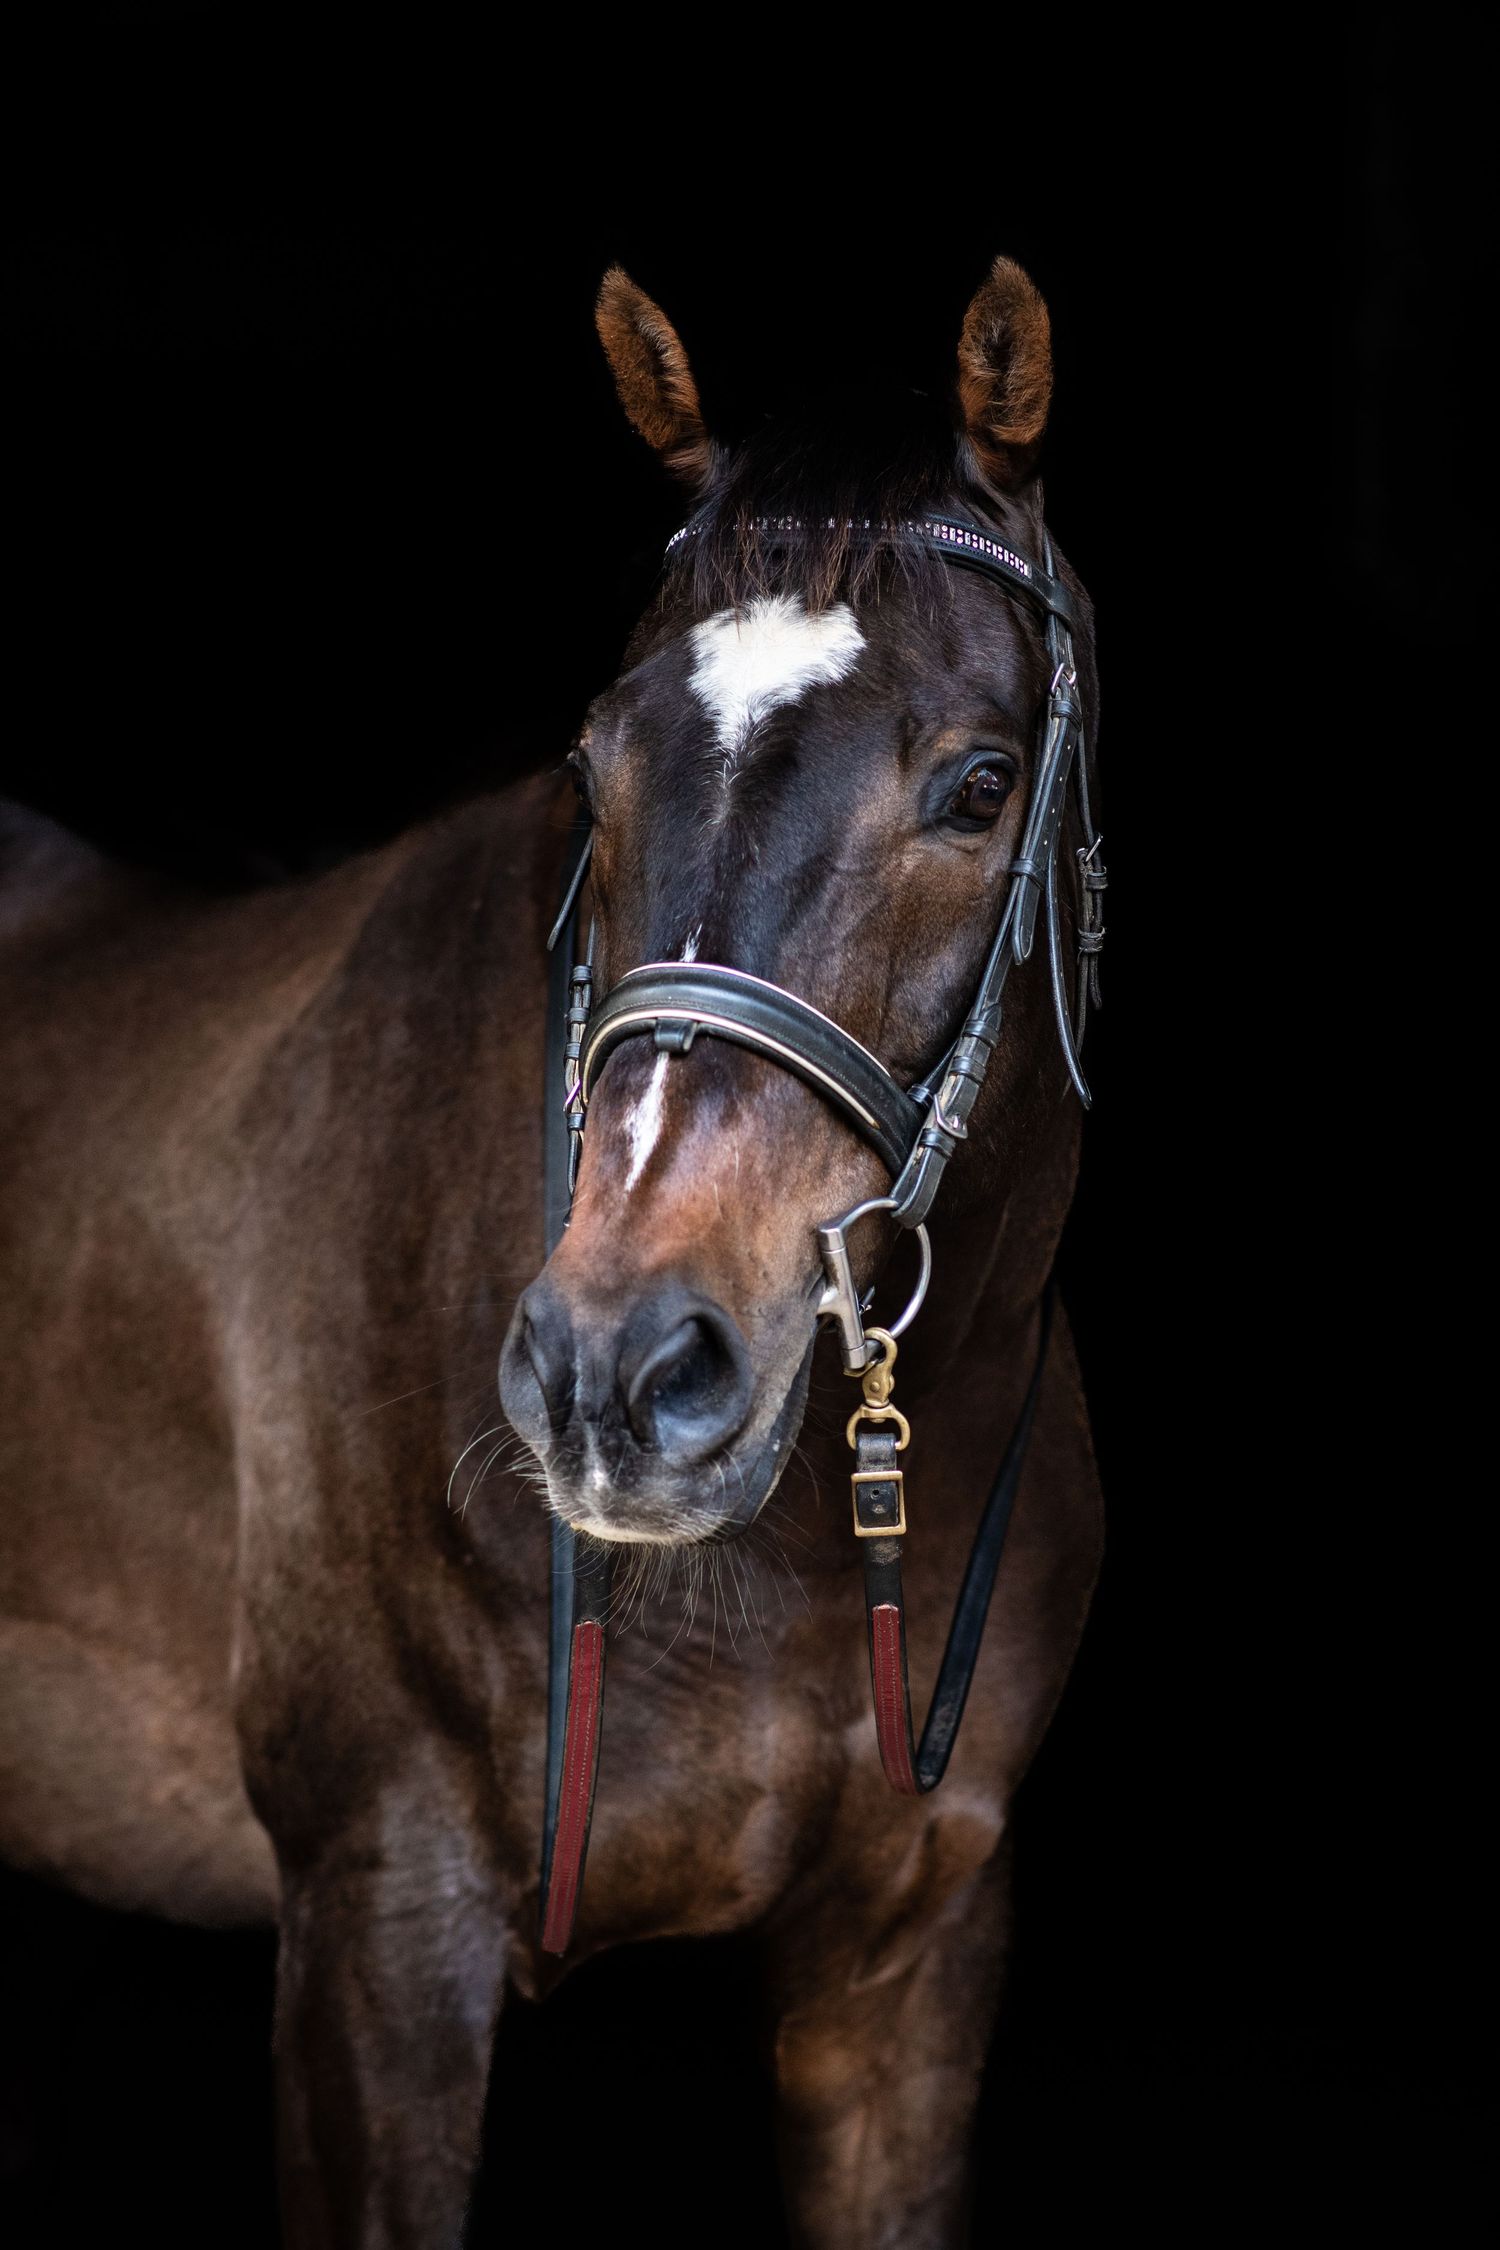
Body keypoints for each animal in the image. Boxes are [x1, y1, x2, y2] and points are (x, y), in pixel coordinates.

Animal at [0, 253, 1104, 2248]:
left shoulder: (912, 1960)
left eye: (982, 785)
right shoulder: (381, 1929)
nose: (616, 1373)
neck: (791, 1566)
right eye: (594, 768)